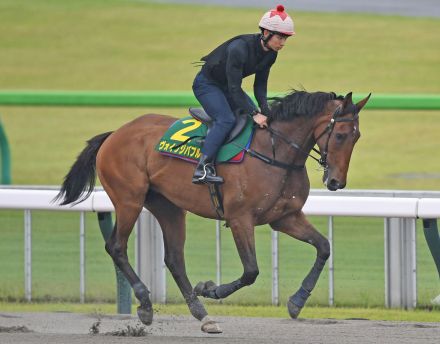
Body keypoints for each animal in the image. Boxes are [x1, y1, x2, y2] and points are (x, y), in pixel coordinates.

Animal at [55, 90, 372, 332]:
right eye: (341, 134)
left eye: (357, 137)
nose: (336, 182)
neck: (275, 153)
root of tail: (114, 134)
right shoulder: (240, 218)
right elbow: (251, 271)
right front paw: (211, 289)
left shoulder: (285, 217)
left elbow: (323, 247)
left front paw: (297, 301)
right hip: (129, 199)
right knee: (117, 247)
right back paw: (145, 304)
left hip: (168, 206)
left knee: (174, 259)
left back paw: (202, 315)